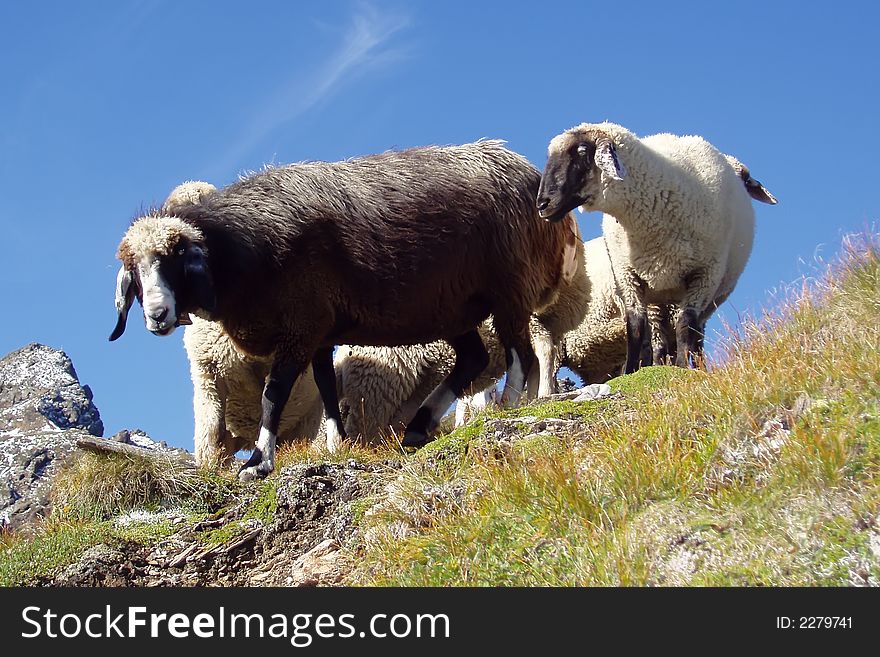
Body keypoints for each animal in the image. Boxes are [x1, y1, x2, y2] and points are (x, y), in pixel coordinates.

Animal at [536, 120, 776, 372]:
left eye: (582, 151)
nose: (542, 204)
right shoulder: (627, 276)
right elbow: (635, 326)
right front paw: (631, 370)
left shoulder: (705, 276)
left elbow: (685, 325)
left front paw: (683, 366)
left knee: (695, 331)